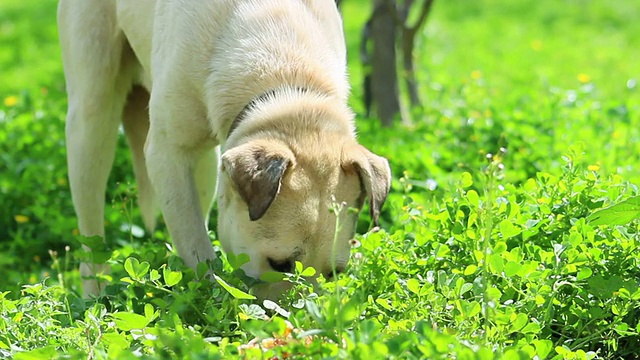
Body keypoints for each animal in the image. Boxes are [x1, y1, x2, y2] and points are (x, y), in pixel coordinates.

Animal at [58, 0, 390, 298]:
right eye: (279, 264)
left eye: (335, 272)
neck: (285, 79)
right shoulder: (166, 154)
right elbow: (197, 248)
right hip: (92, 113)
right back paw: (95, 294)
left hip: (206, 160)